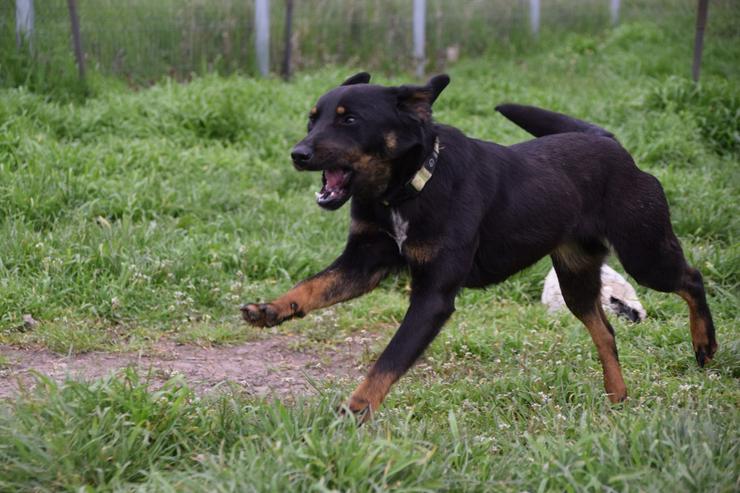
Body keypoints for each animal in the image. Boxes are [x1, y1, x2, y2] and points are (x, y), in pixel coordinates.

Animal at [241, 73, 716, 418]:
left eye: (349, 120)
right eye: (313, 119)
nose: (298, 153)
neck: (409, 189)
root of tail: (610, 143)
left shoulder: (433, 297)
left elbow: (389, 360)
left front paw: (356, 408)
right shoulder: (364, 263)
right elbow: (314, 286)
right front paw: (272, 309)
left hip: (643, 252)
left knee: (691, 279)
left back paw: (704, 345)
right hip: (576, 277)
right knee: (606, 330)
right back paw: (617, 395)